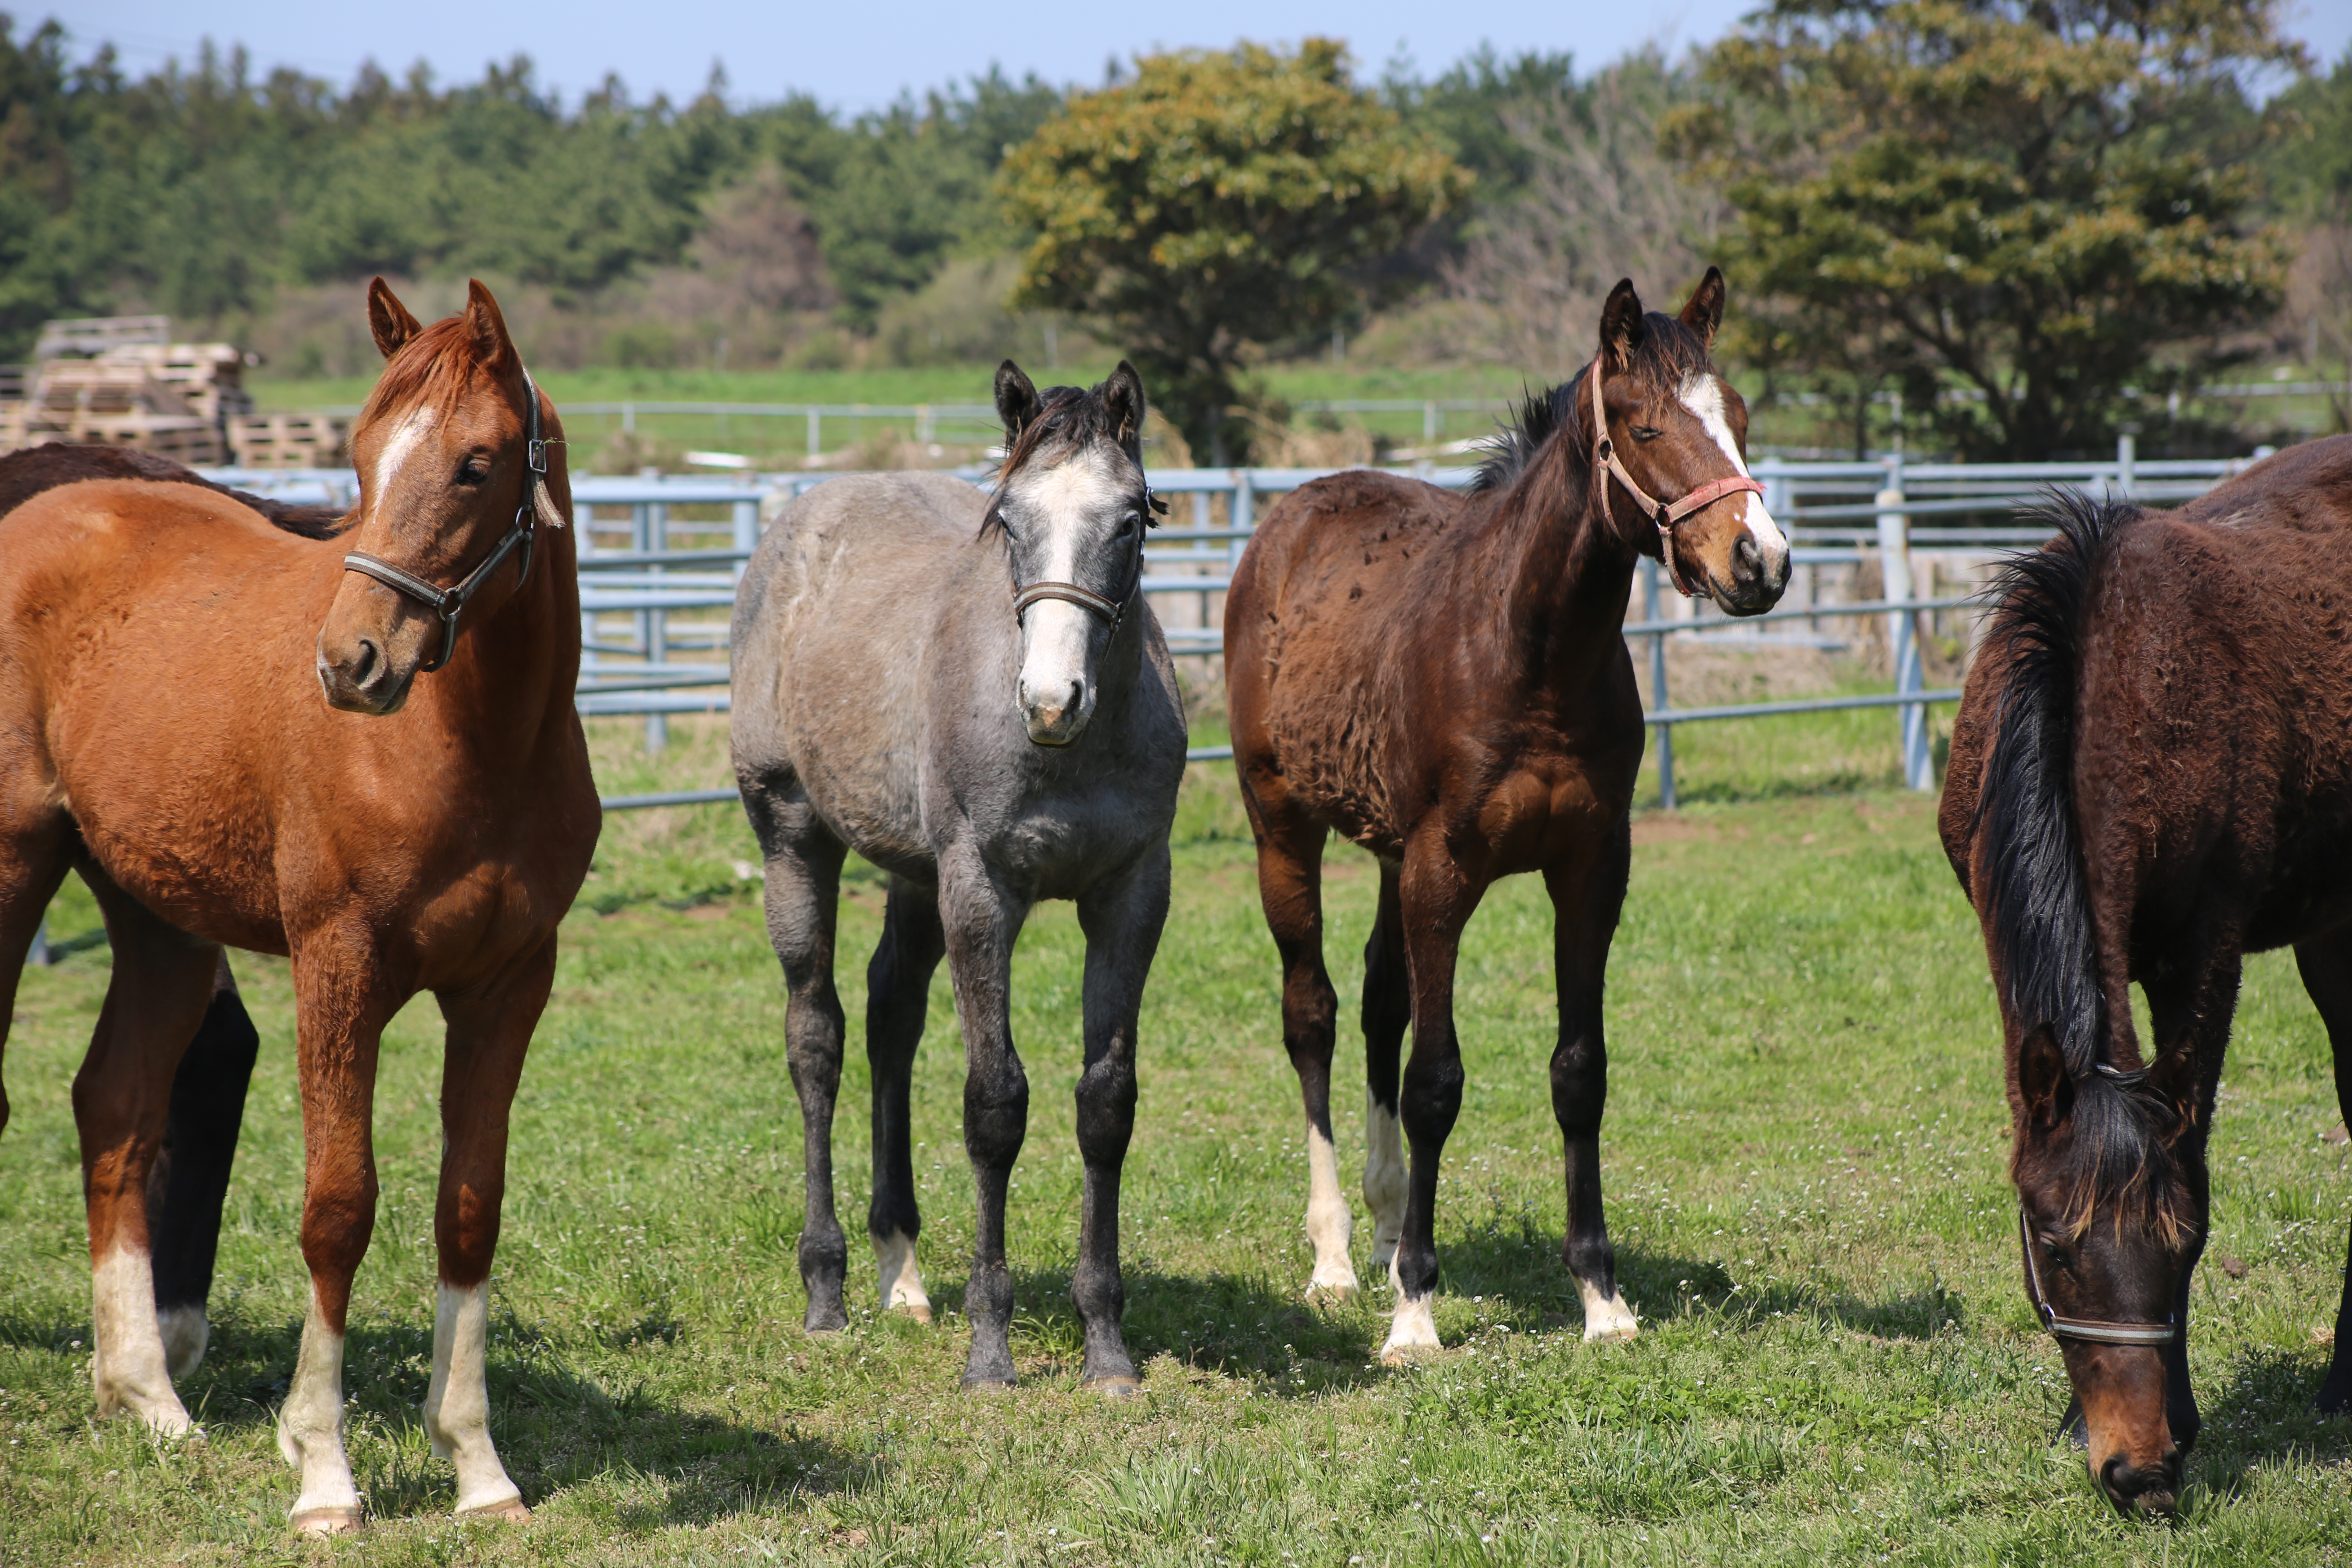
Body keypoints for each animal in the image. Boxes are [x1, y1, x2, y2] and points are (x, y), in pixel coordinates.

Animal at [0, 282, 597, 1532]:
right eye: (361, 457)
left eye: (476, 464)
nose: (352, 663)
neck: (472, 749)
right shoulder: (341, 967)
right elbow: (339, 1206)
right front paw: (324, 1473)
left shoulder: (510, 982)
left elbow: (469, 1208)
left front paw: (478, 1469)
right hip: (13, 864)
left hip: (161, 920)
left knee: (116, 1106)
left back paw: (150, 1397)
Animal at [729, 362, 1185, 1392]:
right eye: (1008, 521)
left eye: (1130, 518)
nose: (1051, 701)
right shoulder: (981, 893)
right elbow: (994, 1104)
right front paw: (991, 1348)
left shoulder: (1132, 895)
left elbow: (1107, 1103)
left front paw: (1107, 1345)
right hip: (792, 838)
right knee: (816, 1037)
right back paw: (828, 1288)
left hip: (912, 874)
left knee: (890, 1014)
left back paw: (901, 1269)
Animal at [1223, 270, 1787, 1363]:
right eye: (1646, 427)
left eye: (1738, 418)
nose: (1761, 561)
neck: (1528, 652)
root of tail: (1290, 516)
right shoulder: (1445, 867)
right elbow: (1436, 1081)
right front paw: (1413, 1312)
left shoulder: (1590, 869)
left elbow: (1578, 1072)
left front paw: (1601, 1297)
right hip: (1284, 828)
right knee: (1312, 1013)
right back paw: (1338, 1257)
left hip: (1388, 856)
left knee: (1376, 1003)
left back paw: (1387, 1222)